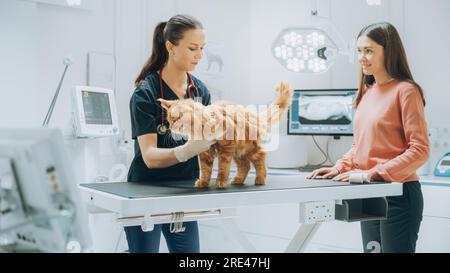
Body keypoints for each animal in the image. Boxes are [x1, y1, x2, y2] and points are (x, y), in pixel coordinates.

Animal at [160, 81, 294, 187]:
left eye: (175, 120)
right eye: (169, 121)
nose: (170, 127)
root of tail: (252, 115)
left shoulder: (225, 147)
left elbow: (223, 167)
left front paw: (221, 181)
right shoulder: (205, 152)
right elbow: (205, 169)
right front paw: (203, 183)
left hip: (248, 148)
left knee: (260, 158)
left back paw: (260, 179)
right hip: (238, 152)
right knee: (245, 165)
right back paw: (238, 180)